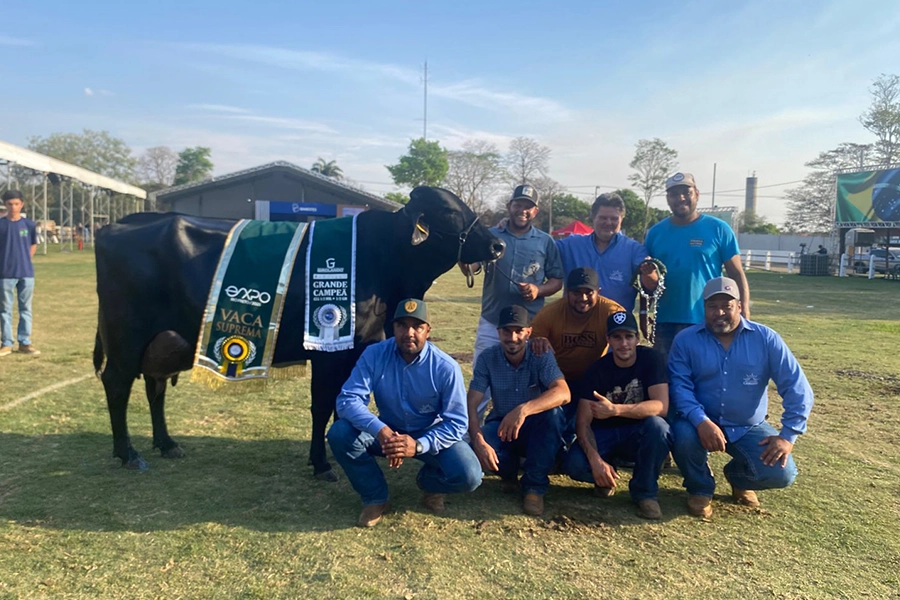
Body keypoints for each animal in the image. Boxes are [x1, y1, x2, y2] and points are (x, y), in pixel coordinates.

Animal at [93, 186, 504, 480]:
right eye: (450, 211)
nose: (498, 244)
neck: (386, 260)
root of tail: (118, 224)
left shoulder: (359, 348)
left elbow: (341, 406)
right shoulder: (330, 352)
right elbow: (323, 405)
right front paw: (321, 464)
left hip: (161, 340)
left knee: (155, 386)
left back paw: (166, 443)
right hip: (127, 334)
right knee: (117, 384)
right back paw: (128, 453)